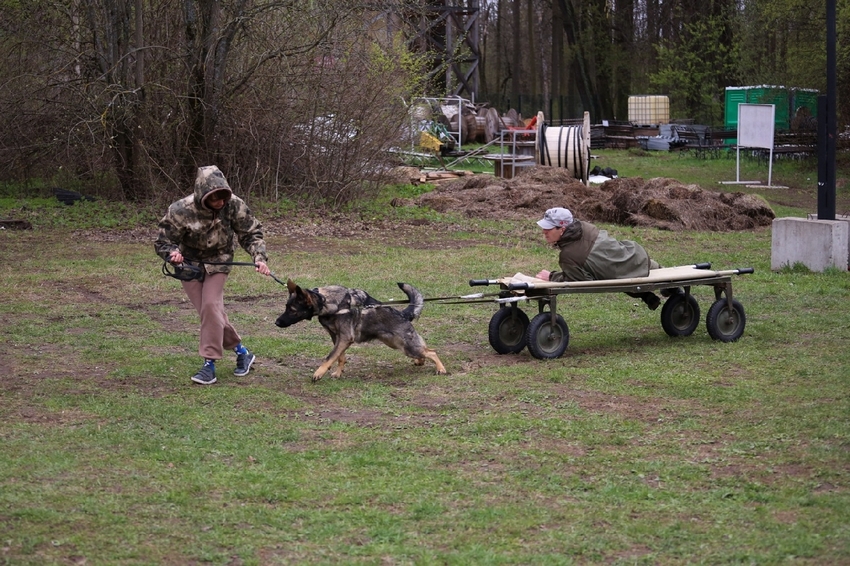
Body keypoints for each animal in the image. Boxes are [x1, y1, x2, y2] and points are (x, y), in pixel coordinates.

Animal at [274, 280, 448, 382]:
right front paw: (338, 373)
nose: (276, 322)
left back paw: (441, 369)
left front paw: (319, 372)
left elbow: (330, 357)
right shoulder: (336, 337)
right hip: (399, 345)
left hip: (407, 346)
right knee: (424, 352)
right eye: (286, 307)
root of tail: (402, 314)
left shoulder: (344, 338)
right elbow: (340, 357)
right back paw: (420, 361)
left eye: (292, 310)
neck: (327, 301)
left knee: (431, 351)